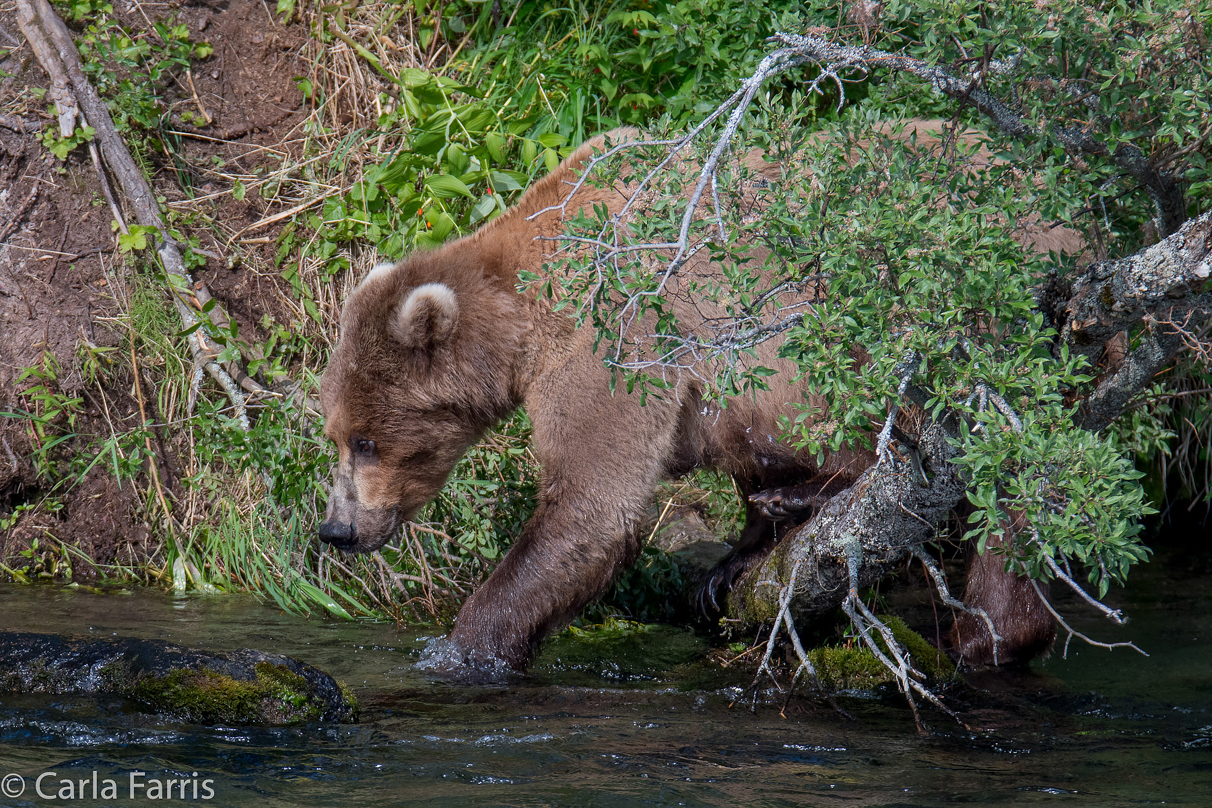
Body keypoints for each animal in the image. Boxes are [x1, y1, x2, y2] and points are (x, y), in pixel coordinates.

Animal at [319, 124, 1061, 678]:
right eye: (336, 434)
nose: (336, 530)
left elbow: (589, 508)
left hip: (934, 309)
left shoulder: (616, 333)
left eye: (368, 440)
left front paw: (462, 650)